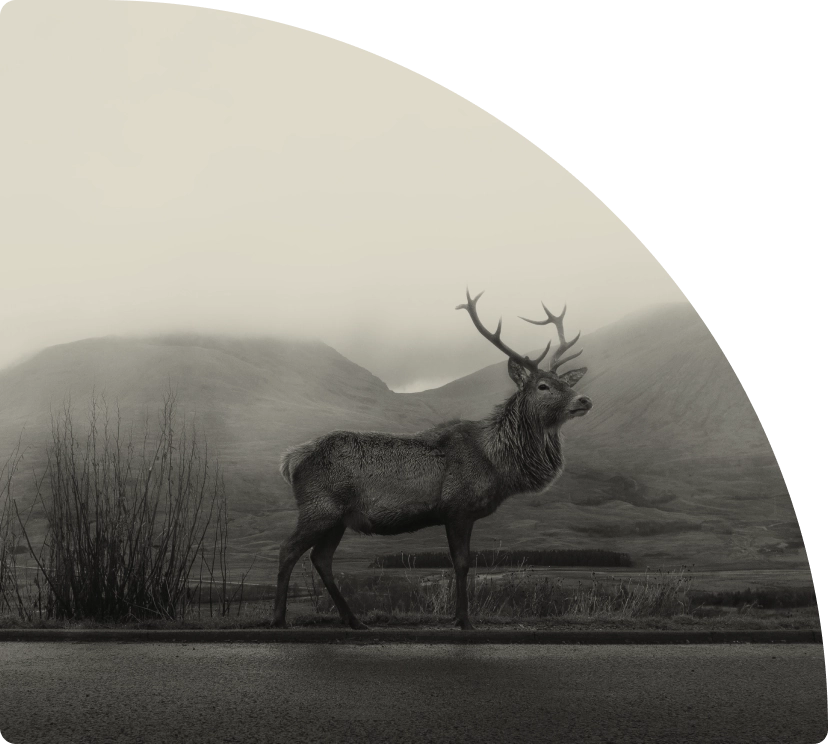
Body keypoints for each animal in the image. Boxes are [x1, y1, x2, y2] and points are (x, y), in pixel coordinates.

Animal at [273, 289, 593, 630]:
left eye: (568, 383)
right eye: (543, 386)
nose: (584, 399)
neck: (497, 464)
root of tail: (290, 461)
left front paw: (458, 616)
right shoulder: (457, 508)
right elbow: (462, 564)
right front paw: (464, 620)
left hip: (339, 518)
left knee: (320, 558)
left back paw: (354, 620)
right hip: (319, 507)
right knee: (288, 549)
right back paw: (279, 618)